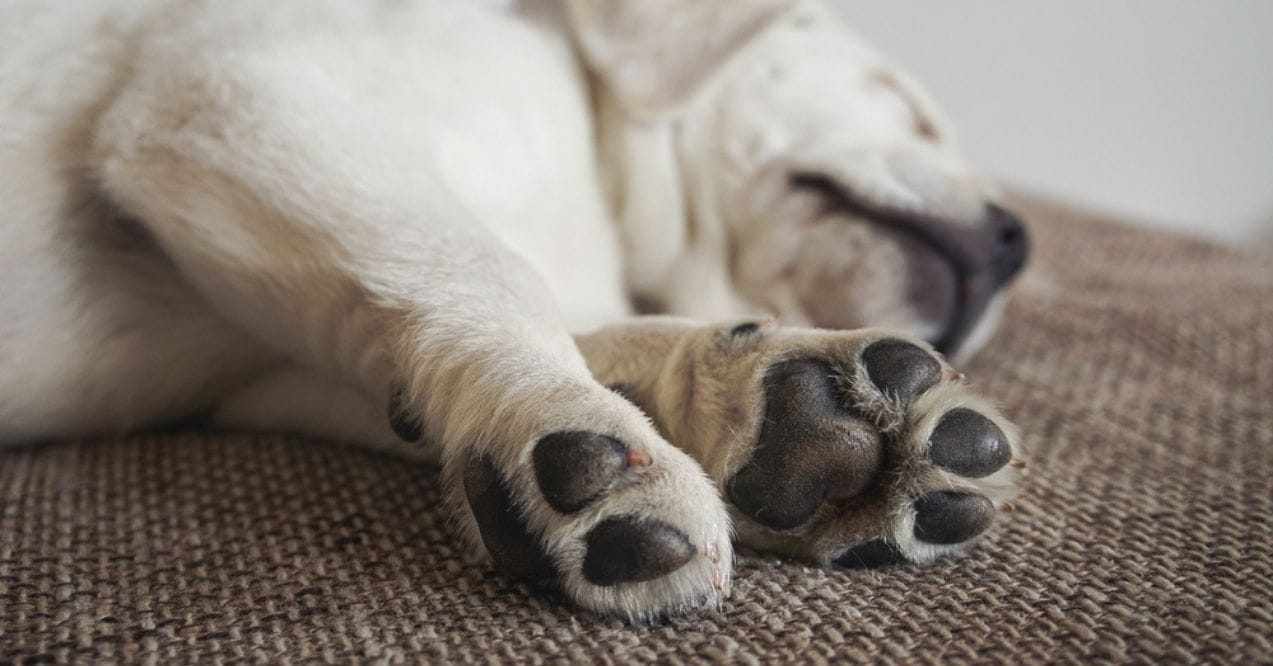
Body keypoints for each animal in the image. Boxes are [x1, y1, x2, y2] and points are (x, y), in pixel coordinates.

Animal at [0, 0, 1028, 621]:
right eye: (905, 107)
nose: (1020, 241)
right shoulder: (239, 105)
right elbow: (486, 268)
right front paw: (566, 422)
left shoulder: (271, 362)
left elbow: (551, 336)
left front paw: (762, 406)